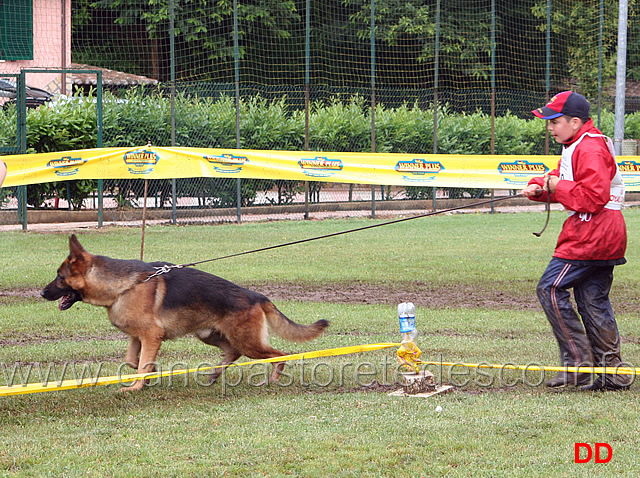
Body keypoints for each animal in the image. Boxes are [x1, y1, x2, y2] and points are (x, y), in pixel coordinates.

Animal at [42, 233, 328, 390]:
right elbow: (133, 360)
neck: (123, 286)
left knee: (280, 354)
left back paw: (273, 379)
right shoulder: (138, 337)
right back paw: (214, 374)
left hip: (249, 343)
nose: (42, 294)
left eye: (59, 277)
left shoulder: (151, 335)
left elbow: (140, 364)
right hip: (211, 335)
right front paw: (148, 375)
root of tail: (258, 296)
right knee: (232, 353)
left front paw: (136, 386)